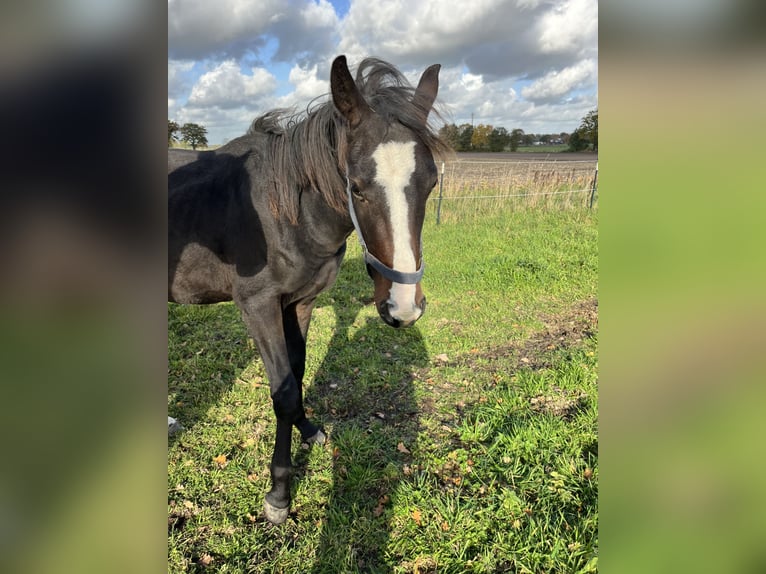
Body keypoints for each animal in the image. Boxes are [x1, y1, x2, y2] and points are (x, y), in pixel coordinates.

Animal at [168, 55, 450, 528]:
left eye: (430, 183)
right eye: (357, 188)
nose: (403, 307)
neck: (282, 212)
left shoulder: (300, 301)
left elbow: (297, 375)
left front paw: (309, 430)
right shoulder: (258, 306)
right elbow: (282, 391)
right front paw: (279, 492)